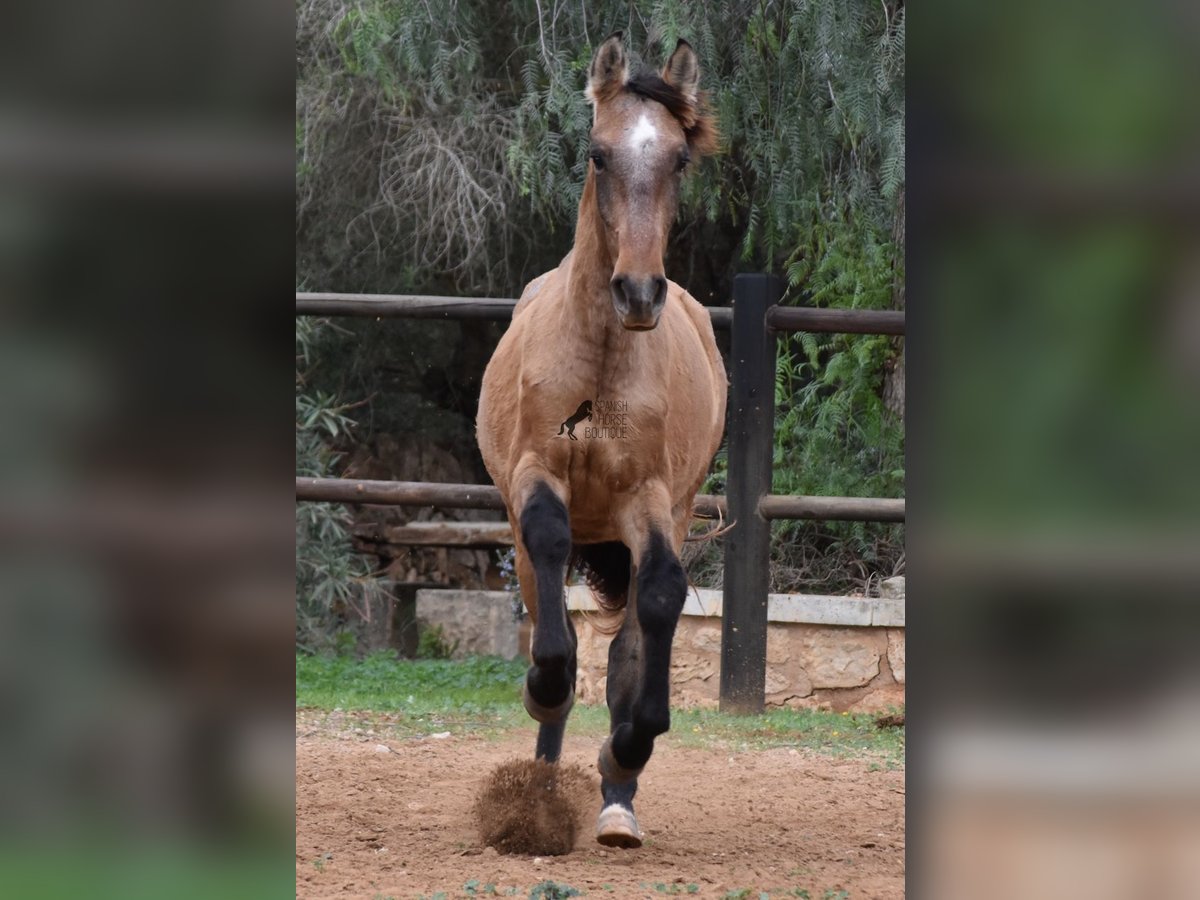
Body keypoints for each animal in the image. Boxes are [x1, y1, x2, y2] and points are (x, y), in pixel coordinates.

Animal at [475, 33, 720, 854]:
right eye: (598, 154)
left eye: (679, 160)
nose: (638, 292)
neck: (603, 358)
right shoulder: (534, 477)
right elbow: (556, 632)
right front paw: (543, 697)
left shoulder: (648, 500)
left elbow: (658, 604)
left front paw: (627, 751)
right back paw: (544, 787)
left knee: (630, 636)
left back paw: (615, 805)